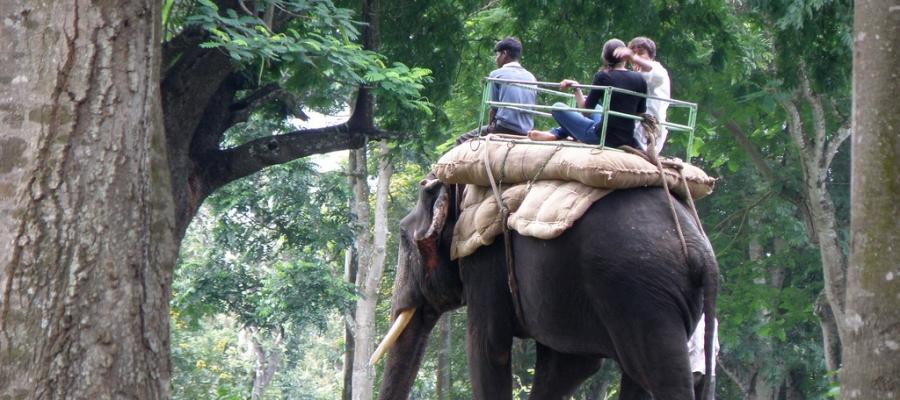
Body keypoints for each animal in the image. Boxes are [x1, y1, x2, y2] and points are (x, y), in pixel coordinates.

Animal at [374, 177, 719, 400]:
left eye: (403, 237)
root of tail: (701, 251)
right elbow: (567, 366)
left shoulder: (485, 261)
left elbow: (488, 349)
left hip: (640, 295)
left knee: (660, 376)